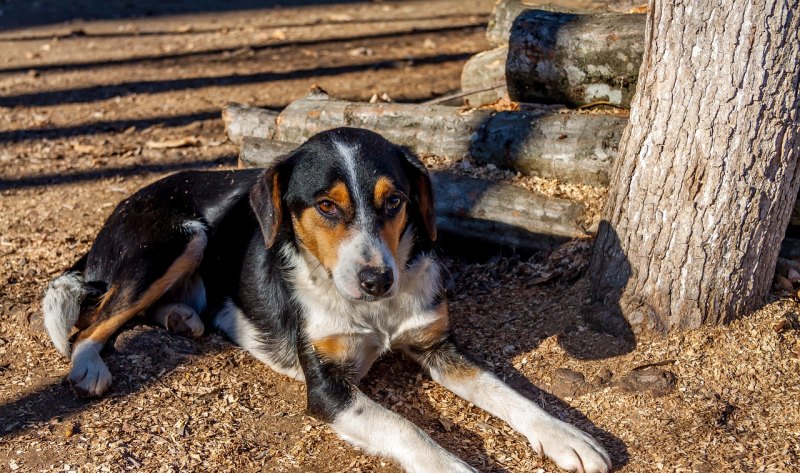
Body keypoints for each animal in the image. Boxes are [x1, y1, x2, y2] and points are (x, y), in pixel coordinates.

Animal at [40, 127, 608, 470]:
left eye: (395, 201)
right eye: (326, 207)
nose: (378, 279)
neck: (372, 312)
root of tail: (116, 213)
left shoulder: (435, 345)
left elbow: (507, 392)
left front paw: (566, 437)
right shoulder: (329, 389)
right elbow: (410, 430)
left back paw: (182, 316)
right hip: (181, 237)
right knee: (91, 322)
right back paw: (89, 365)